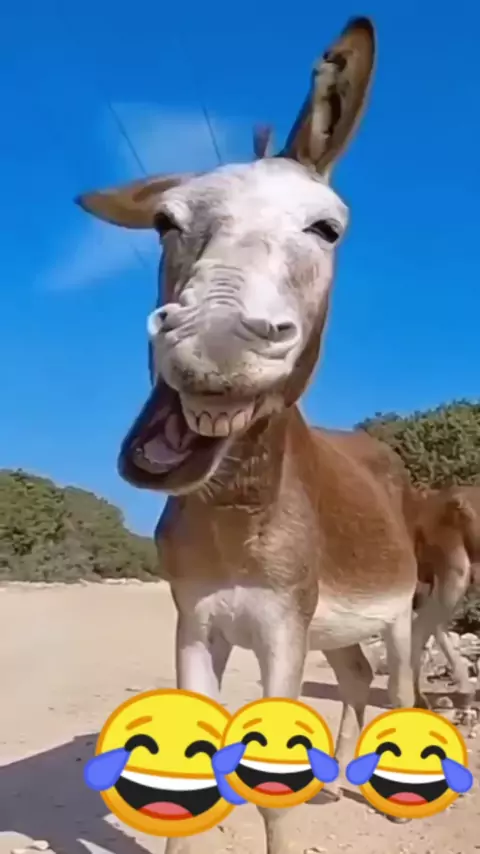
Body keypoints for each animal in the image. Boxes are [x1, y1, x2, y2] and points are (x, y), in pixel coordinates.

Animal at [76, 17, 423, 852]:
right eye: (166, 222)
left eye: (327, 228)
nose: (214, 344)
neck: (237, 513)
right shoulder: (197, 619)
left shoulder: (281, 628)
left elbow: (273, 792)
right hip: (337, 626)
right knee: (357, 679)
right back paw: (335, 780)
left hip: (398, 616)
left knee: (396, 686)